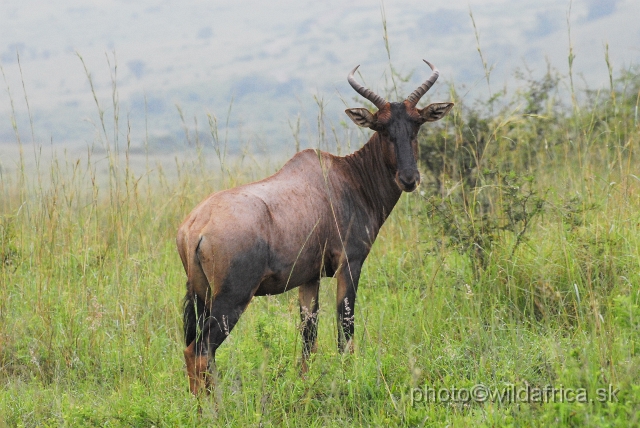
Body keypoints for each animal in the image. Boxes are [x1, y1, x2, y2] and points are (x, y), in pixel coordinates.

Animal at [178, 59, 452, 394]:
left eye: (416, 124)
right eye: (382, 127)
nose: (409, 179)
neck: (346, 177)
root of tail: (196, 226)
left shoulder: (309, 277)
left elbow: (309, 335)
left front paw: (305, 386)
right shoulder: (350, 264)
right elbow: (344, 329)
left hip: (200, 295)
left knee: (194, 350)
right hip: (233, 298)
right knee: (201, 350)